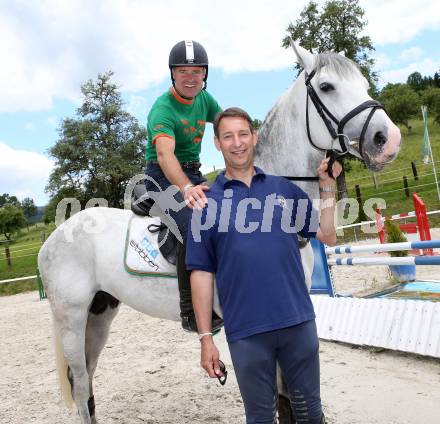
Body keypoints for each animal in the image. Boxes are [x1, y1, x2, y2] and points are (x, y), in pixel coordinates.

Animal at [39, 40, 400, 424]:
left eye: (364, 84)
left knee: (89, 384)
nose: (388, 139)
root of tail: (55, 238)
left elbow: (288, 396)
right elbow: (277, 393)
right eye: (327, 87)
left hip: (100, 314)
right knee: (80, 387)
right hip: (72, 319)